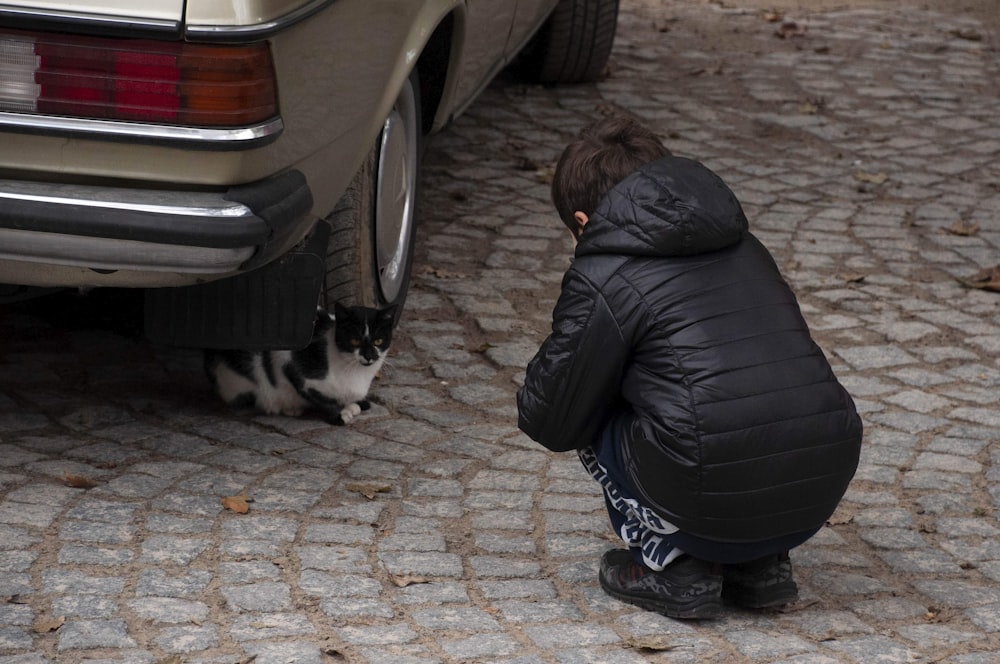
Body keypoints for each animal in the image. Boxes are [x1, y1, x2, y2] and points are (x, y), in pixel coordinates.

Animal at [205, 302, 396, 426]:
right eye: (354, 340)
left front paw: (356, 403)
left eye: (378, 341)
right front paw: (339, 414)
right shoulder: (288, 363)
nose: (369, 356)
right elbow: (321, 398)